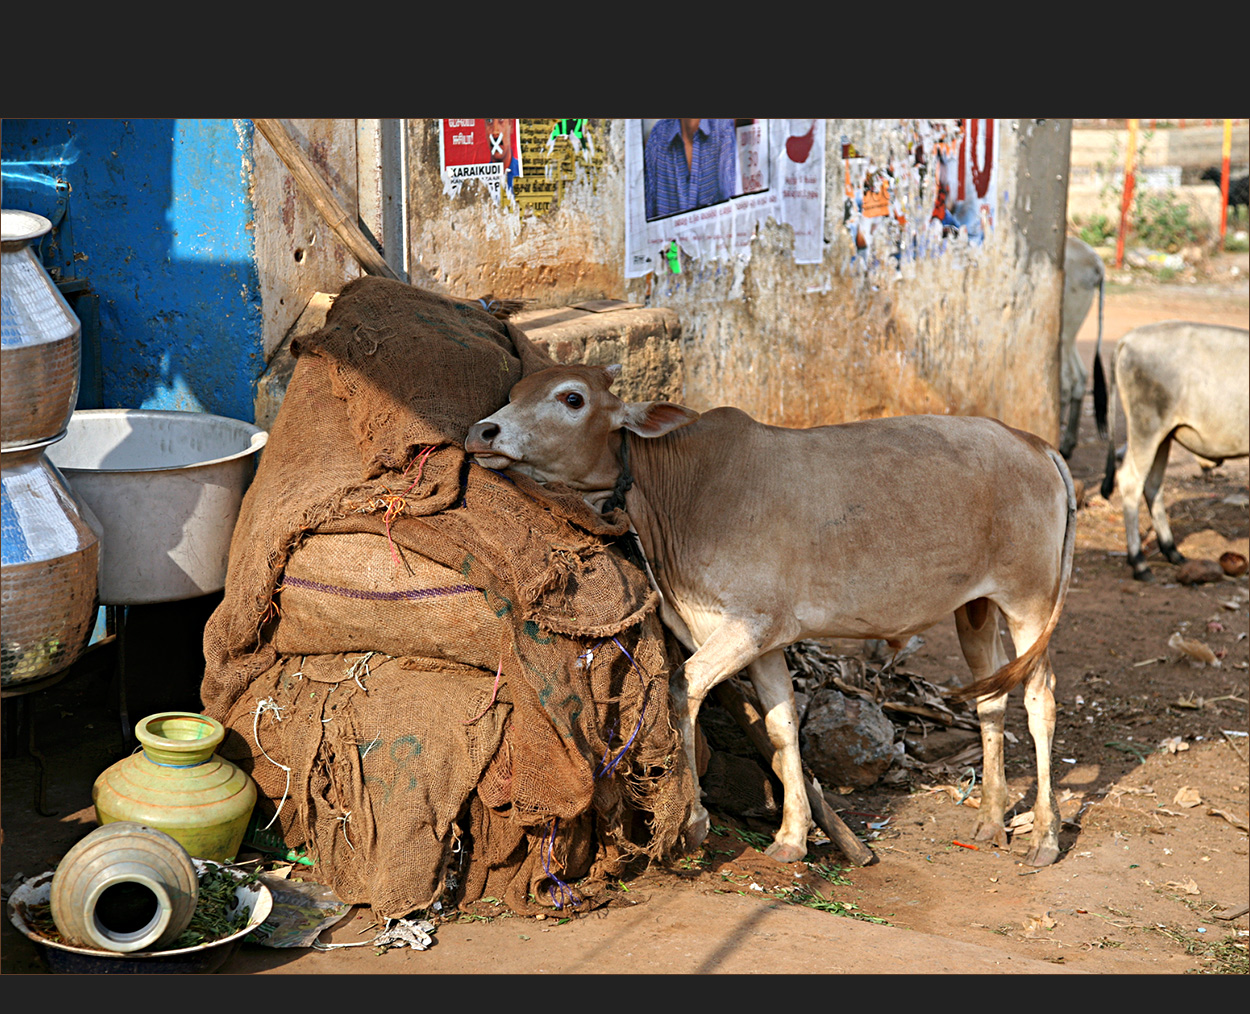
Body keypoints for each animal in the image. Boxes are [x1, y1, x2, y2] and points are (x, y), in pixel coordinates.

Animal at [467, 367, 1075, 870]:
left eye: (572, 398)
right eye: (513, 393)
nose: (482, 431)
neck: (681, 495)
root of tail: (1034, 442)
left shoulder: (749, 625)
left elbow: (683, 689)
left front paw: (693, 823)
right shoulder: (767, 642)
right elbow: (782, 729)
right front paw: (792, 837)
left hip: (1029, 600)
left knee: (1039, 699)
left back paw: (1045, 837)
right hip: (976, 608)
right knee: (990, 698)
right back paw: (992, 820)